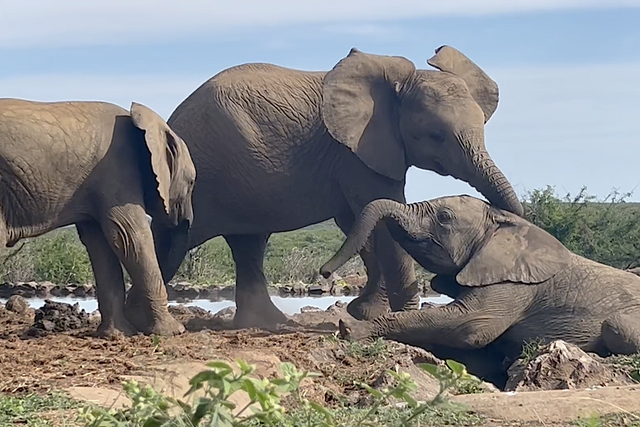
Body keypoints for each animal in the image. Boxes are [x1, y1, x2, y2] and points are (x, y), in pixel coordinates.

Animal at [0, 98, 196, 336]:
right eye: (192, 183)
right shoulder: (117, 170)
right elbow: (129, 236)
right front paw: (172, 331)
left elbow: (101, 244)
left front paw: (117, 335)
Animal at [153, 45, 524, 329]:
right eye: (435, 135)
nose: (325, 272)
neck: (399, 84)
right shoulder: (356, 153)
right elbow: (378, 211)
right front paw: (392, 313)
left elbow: (360, 220)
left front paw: (365, 312)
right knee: (176, 241)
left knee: (248, 244)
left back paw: (268, 324)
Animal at [320, 195, 640, 384]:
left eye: (444, 217)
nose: (325, 272)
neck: (508, 226)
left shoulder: (514, 284)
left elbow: (469, 326)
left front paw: (350, 329)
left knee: (616, 327)